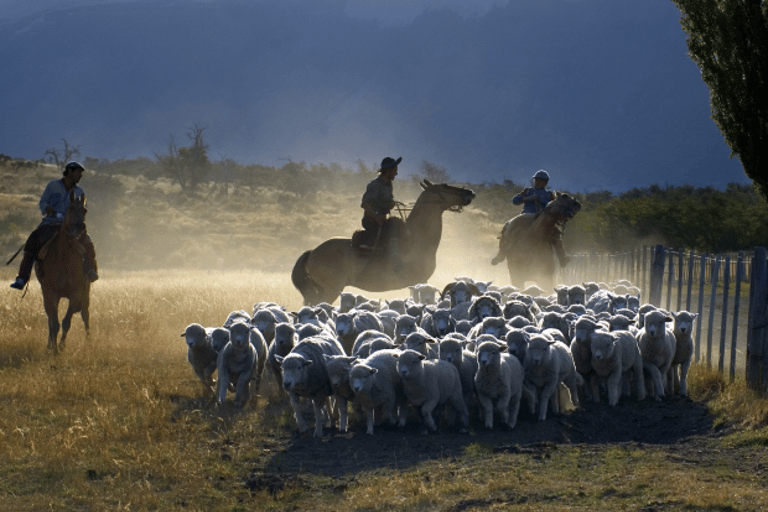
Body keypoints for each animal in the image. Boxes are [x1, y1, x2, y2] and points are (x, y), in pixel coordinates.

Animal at [35, 190, 91, 354]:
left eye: (85, 210)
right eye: (70, 208)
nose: (80, 227)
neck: (63, 259)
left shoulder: (76, 293)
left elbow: (67, 321)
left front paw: (61, 346)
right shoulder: (51, 293)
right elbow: (54, 322)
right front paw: (54, 348)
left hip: (86, 291)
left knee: (85, 314)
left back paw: (89, 342)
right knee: (49, 317)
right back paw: (49, 344)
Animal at [292, 180, 474, 304]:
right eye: (445, 186)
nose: (470, 192)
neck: (417, 237)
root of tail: (312, 252)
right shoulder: (420, 281)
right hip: (330, 290)